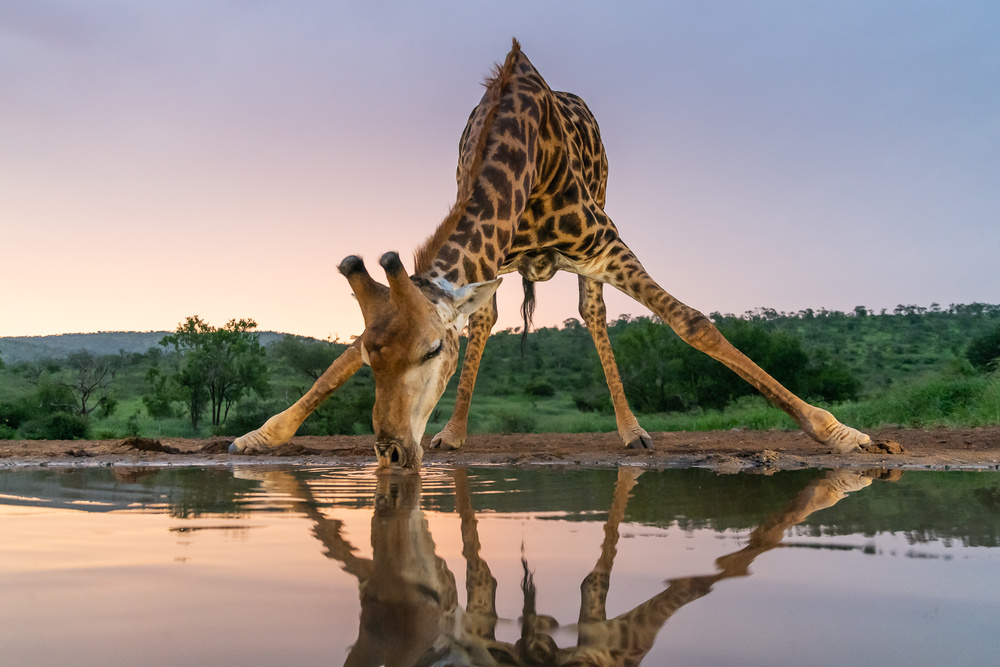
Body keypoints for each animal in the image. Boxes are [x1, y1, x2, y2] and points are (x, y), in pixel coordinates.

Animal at [232, 40, 868, 470]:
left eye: (433, 350)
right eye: (371, 356)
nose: (390, 452)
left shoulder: (606, 242)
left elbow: (693, 323)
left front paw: (840, 433)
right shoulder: (486, 260)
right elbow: (347, 358)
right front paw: (261, 435)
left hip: (597, 241)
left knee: (595, 314)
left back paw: (632, 432)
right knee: (488, 320)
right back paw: (454, 434)